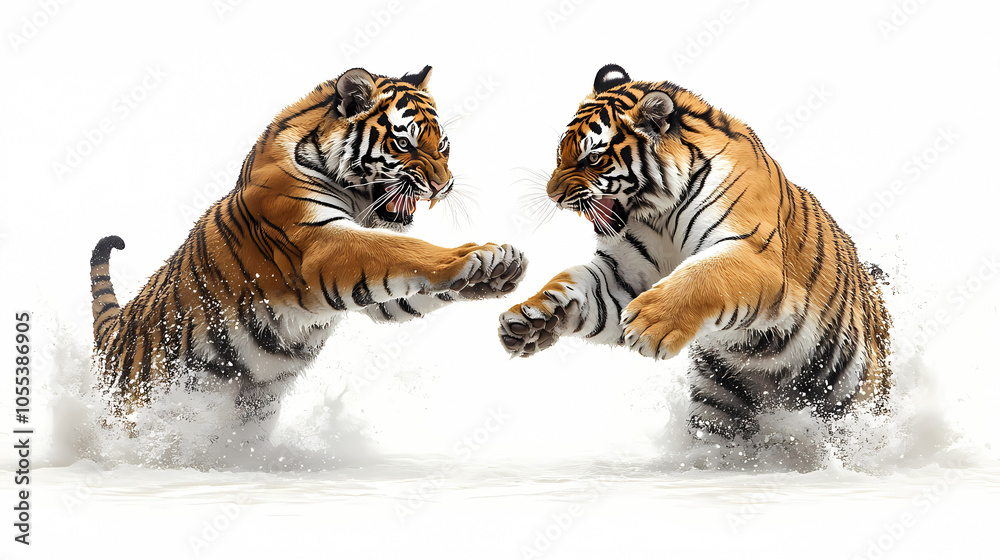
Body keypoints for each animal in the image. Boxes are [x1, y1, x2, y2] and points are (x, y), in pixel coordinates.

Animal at [90, 66, 526, 429]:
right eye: (404, 144)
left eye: (444, 146)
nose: (443, 185)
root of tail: (111, 336)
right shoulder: (322, 244)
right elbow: (407, 249)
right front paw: (475, 255)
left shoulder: (372, 292)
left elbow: (409, 282)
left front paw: (497, 267)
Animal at [499, 64, 891, 438]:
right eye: (559, 152)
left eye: (592, 159)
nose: (552, 195)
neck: (660, 213)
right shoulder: (625, 277)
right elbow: (576, 286)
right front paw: (531, 318)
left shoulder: (754, 251)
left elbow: (703, 275)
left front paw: (648, 325)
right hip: (719, 403)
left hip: (854, 402)